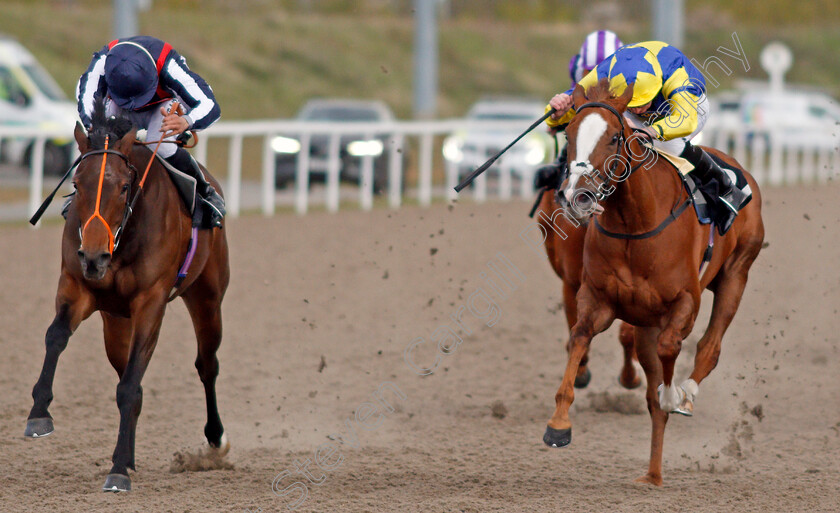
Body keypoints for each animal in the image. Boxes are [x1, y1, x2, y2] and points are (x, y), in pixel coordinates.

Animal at [25, 100, 231, 492]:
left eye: (123, 187)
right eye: (77, 183)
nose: (93, 257)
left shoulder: (151, 302)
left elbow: (130, 384)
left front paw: (118, 470)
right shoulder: (77, 286)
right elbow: (55, 336)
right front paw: (39, 415)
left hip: (208, 296)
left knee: (207, 364)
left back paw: (214, 441)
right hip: (115, 321)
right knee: (130, 377)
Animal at [540, 80, 764, 484]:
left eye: (615, 137)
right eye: (568, 133)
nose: (578, 196)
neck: (634, 223)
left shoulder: (684, 303)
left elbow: (671, 349)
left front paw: (673, 395)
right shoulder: (598, 299)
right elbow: (578, 337)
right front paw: (558, 425)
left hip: (737, 273)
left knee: (709, 347)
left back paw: (685, 395)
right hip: (644, 320)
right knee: (650, 390)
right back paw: (652, 475)